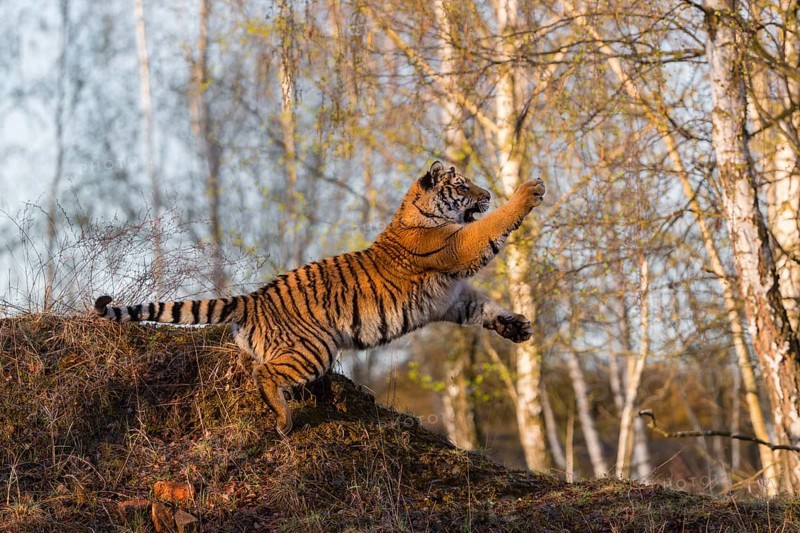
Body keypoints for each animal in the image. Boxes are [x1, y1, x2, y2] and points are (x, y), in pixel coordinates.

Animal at [94, 161, 546, 435]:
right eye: (462, 185)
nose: (486, 194)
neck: (422, 214)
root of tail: (254, 298)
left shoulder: (453, 298)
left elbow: (484, 308)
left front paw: (517, 327)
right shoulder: (460, 248)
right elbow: (494, 225)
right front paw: (528, 190)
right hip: (314, 348)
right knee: (264, 374)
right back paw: (284, 420)